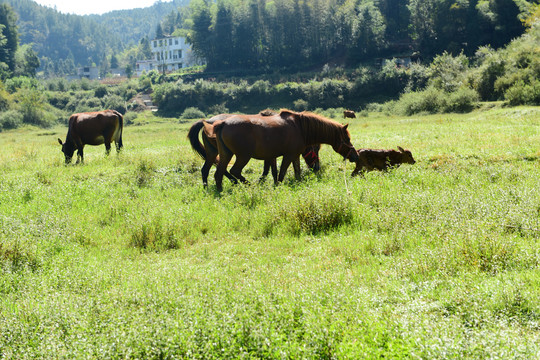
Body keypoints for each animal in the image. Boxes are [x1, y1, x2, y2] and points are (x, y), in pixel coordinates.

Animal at [187, 112, 318, 186]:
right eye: (315, 150)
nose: (317, 168)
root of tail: (208, 121)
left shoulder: (270, 154)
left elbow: (272, 170)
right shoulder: (271, 154)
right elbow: (269, 170)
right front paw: (264, 182)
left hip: (213, 152)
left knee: (207, 169)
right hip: (230, 153)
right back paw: (235, 182)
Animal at [205, 108, 356, 190]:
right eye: (347, 139)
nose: (355, 156)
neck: (300, 127)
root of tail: (223, 123)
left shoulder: (294, 156)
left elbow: (296, 172)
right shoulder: (288, 156)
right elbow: (281, 173)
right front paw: (278, 186)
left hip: (226, 155)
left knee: (218, 173)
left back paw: (220, 191)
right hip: (243, 156)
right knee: (234, 171)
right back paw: (249, 185)